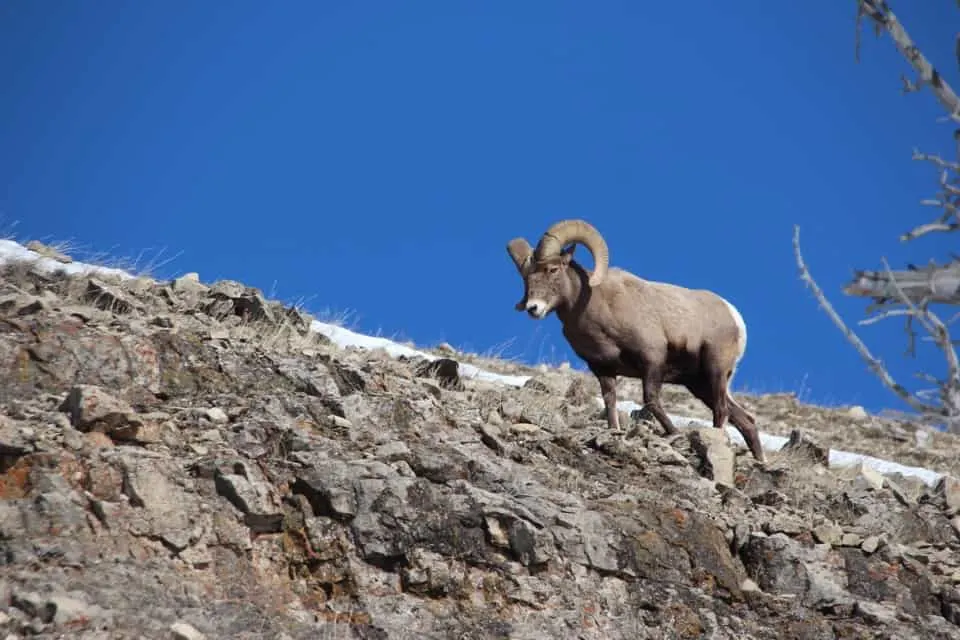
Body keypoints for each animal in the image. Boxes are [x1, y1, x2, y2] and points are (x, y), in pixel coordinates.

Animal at [502, 219, 764, 460]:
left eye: (553, 269)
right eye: (526, 277)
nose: (533, 308)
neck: (595, 308)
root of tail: (734, 316)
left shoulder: (652, 360)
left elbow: (650, 400)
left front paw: (674, 433)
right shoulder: (603, 369)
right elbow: (610, 401)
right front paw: (613, 432)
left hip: (715, 371)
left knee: (722, 411)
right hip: (699, 384)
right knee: (745, 420)